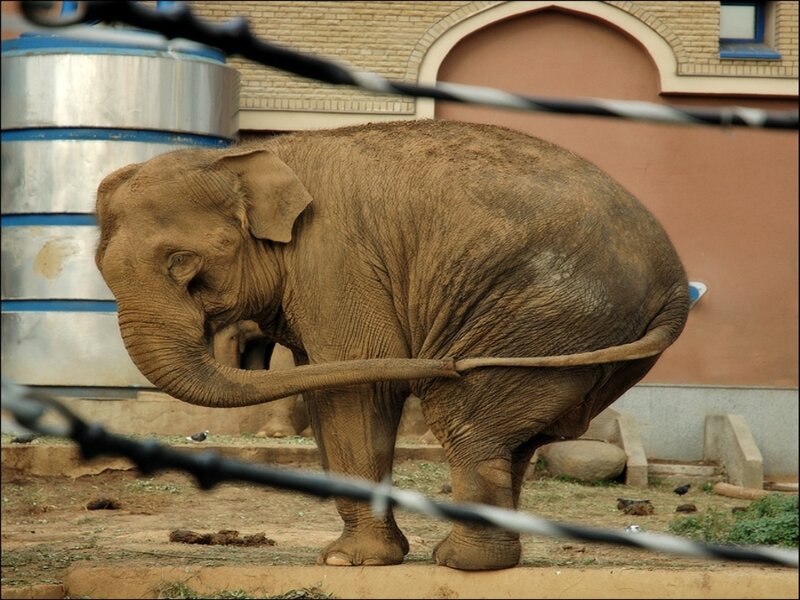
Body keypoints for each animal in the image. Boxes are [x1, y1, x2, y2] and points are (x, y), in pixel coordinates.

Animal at [94, 119, 689, 571]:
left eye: (183, 265)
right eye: (100, 267)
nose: (445, 362)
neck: (244, 157)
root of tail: (676, 286)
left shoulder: (334, 260)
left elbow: (357, 386)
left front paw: (349, 562)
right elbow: (329, 385)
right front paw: (354, 556)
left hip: (543, 312)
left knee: (468, 421)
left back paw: (463, 562)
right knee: (516, 434)